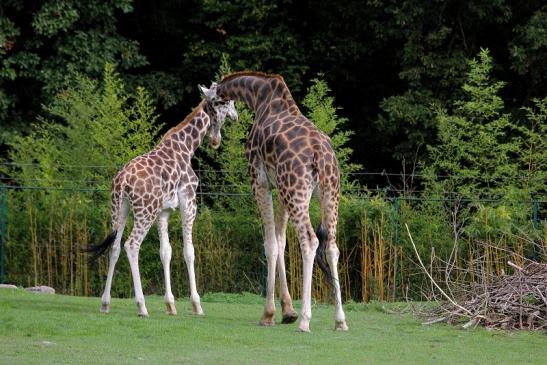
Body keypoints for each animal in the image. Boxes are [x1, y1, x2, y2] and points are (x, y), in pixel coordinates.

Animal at [86, 86, 237, 316]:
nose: (236, 116)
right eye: (225, 102)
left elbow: (165, 252)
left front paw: (170, 305)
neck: (187, 147)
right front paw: (196, 305)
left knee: (115, 247)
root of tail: (122, 181)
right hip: (145, 211)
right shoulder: (189, 202)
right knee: (131, 245)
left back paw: (105, 303)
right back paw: (142, 306)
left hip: (119, 208)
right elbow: (189, 252)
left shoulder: (164, 211)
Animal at [203, 72, 348, 332]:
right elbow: (281, 241)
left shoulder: (259, 181)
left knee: (310, 241)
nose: (214, 139)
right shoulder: (280, 188)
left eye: (211, 106)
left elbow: (270, 244)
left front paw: (269, 314)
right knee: (332, 247)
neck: (259, 98)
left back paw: (305, 320)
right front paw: (287, 311)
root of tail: (321, 155)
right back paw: (340, 320)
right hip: (330, 193)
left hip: (297, 190)